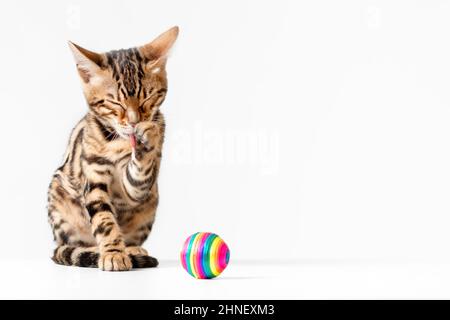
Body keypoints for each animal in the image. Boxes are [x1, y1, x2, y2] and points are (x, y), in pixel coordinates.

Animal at [47, 26, 178, 270]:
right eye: (115, 103)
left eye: (147, 99)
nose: (135, 122)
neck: (117, 142)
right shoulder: (93, 175)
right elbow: (104, 220)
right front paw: (113, 253)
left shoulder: (138, 187)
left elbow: (139, 174)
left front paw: (148, 136)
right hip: (58, 198)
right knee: (71, 246)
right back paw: (95, 251)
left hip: (150, 202)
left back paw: (132, 248)